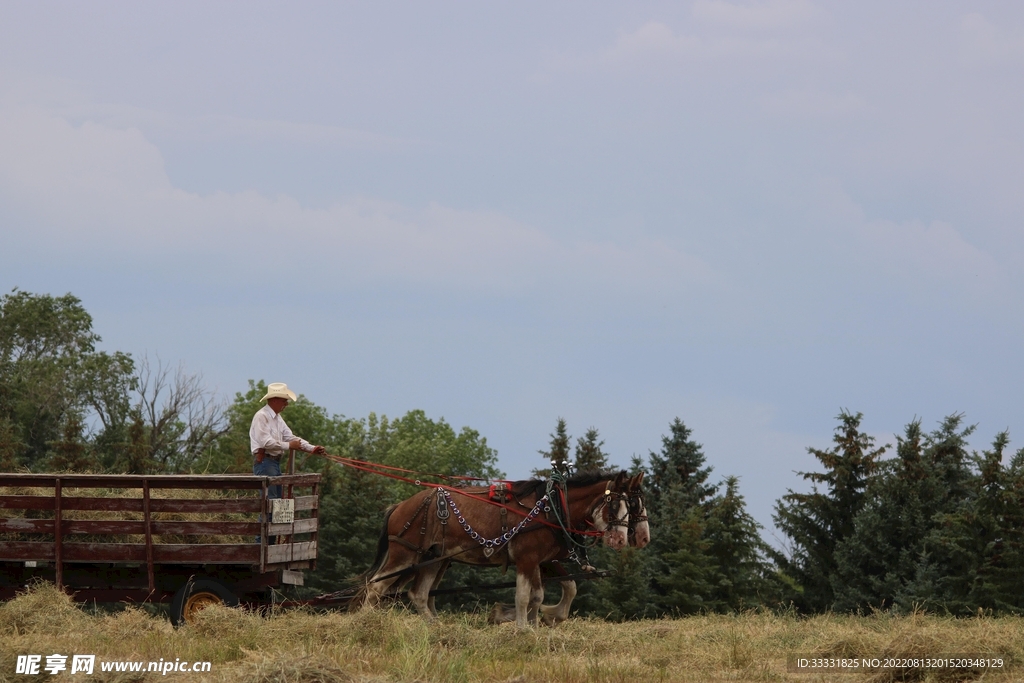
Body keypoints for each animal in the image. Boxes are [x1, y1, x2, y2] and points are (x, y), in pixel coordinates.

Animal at [354, 470, 630, 628]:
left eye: (632, 505)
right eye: (614, 504)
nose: (621, 540)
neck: (549, 509)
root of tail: (400, 506)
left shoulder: (539, 561)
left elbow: (545, 594)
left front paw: (536, 623)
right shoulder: (528, 558)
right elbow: (525, 596)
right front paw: (523, 629)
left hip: (433, 558)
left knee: (419, 594)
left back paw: (438, 629)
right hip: (406, 553)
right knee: (376, 586)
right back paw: (365, 624)